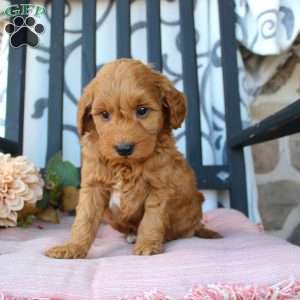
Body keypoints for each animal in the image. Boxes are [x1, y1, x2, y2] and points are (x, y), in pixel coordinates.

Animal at [45, 58, 221, 258]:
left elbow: (151, 220)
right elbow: (84, 219)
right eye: (104, 115)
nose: (124, 148)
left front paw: (147, 244)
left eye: (142, 110)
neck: (125, 165)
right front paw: (72, 247)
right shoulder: (93, 186)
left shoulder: (159, 188)